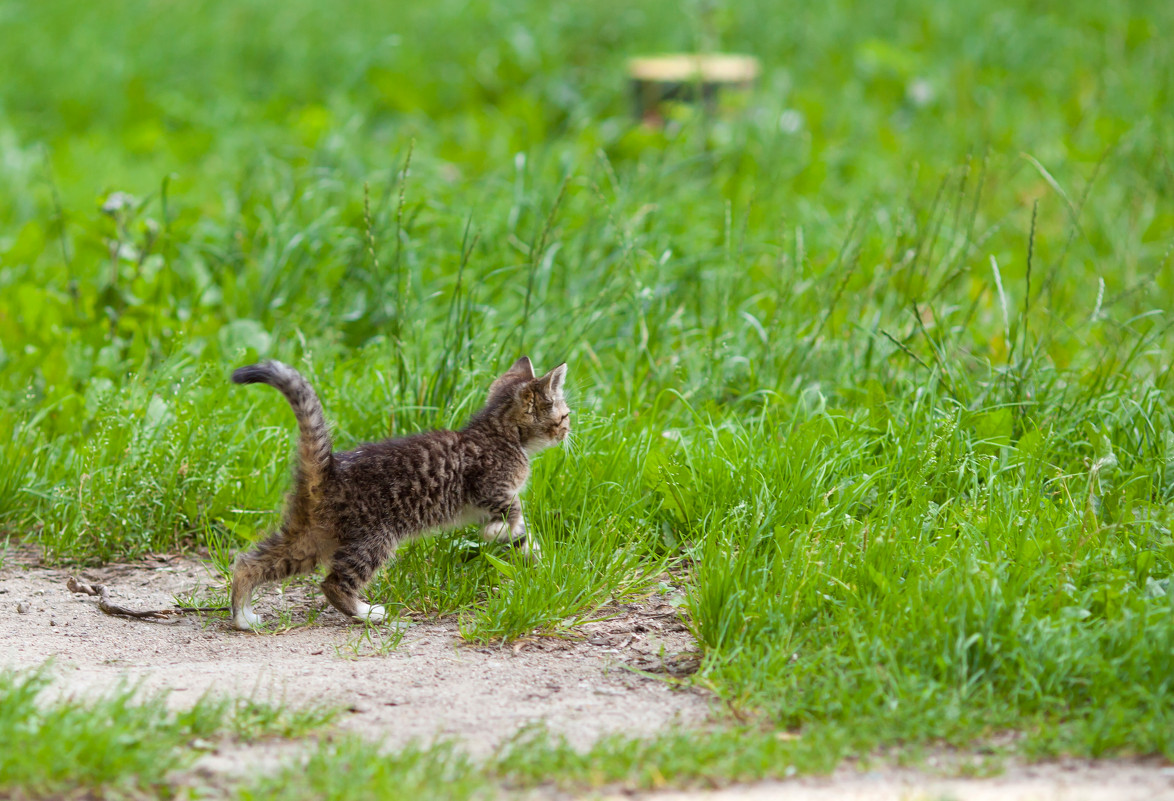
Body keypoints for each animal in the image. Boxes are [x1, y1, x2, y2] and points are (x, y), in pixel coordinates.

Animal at [225, 357, 568, 629]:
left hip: (311, 538)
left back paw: (243, 617)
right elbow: (516, 516)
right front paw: (512, 540)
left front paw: (528, 557)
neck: (499, 433)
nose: (567, 431)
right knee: (333, 583)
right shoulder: (489, 486)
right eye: (564, 416)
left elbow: (514, 533)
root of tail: (330, 468)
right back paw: (367, 613)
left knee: (249, 563)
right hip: (375, 538)